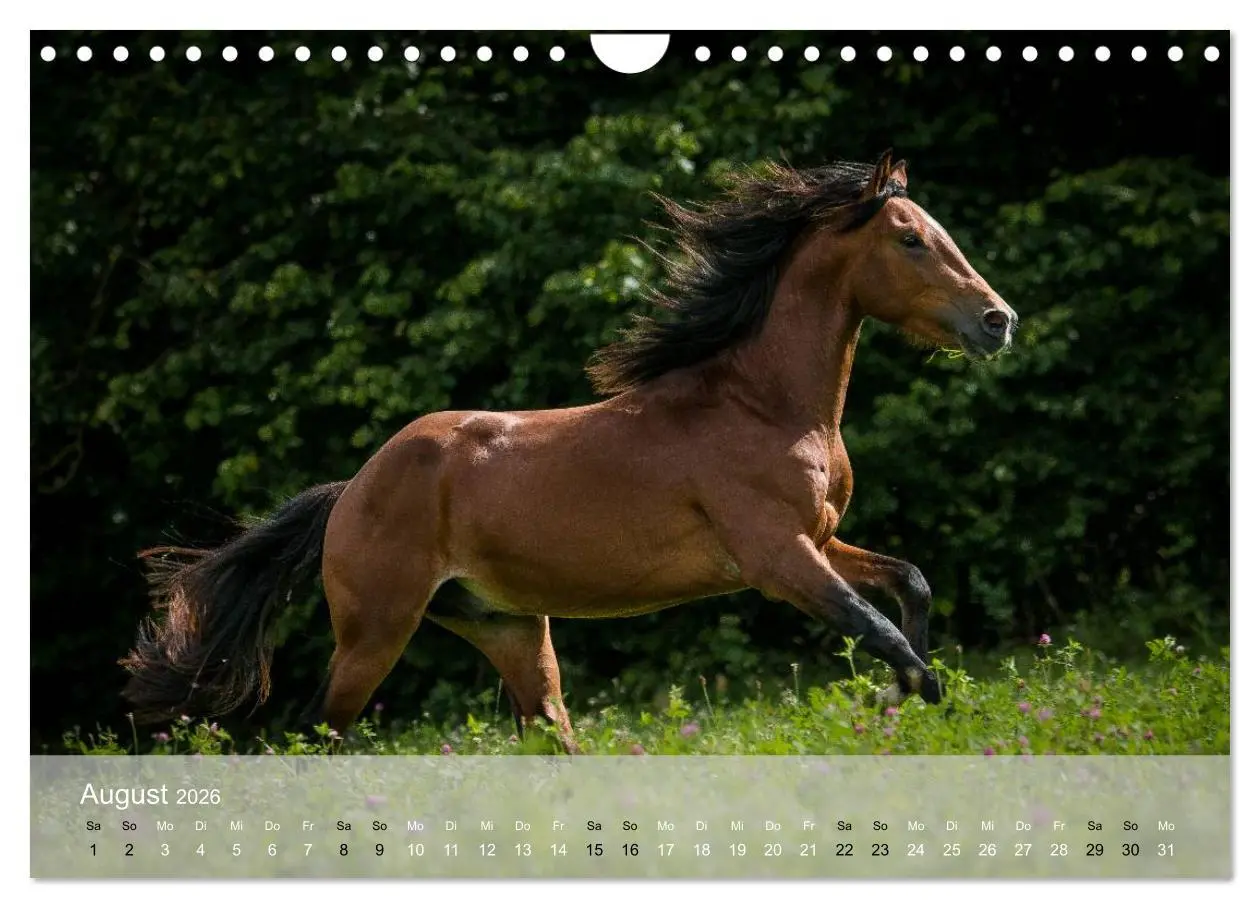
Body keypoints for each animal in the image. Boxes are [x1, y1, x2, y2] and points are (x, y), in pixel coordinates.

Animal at [121, 151, 1017, 754]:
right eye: (910, 239)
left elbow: (909, 583)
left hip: (512, 630)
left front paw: (909, 695)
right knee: (315, 732)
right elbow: (878, 626)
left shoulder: (821, 541)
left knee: (549, 734)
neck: (765, 406)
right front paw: (917, 700)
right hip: (375, 634)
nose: (997, 320)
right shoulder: (777, 557)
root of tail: (350, 491)